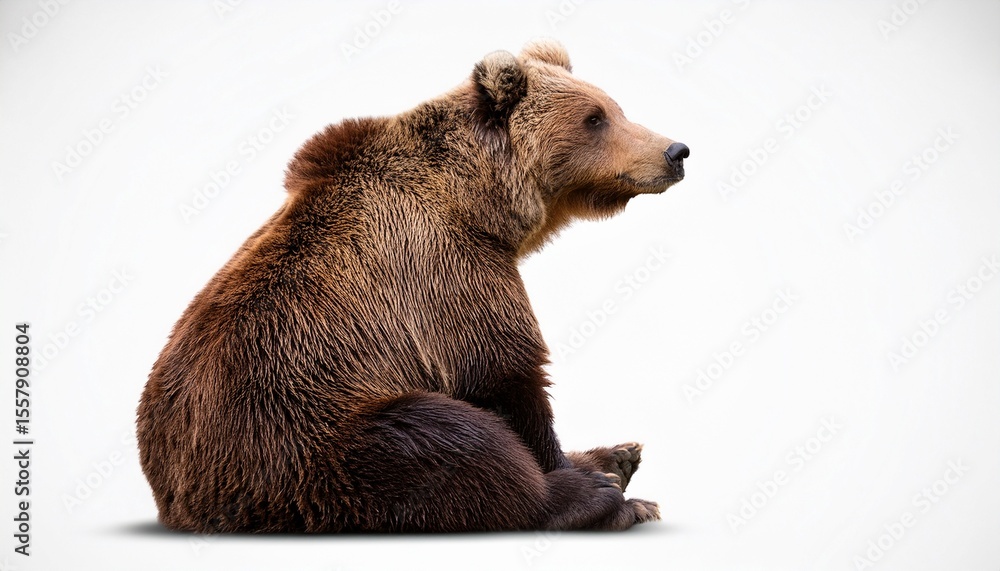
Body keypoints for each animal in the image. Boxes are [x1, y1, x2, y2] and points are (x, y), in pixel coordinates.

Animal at [136, 39, 688, 533]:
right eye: (594, 118)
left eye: (615, 107)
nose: (675, 150)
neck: (476, 202)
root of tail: (174, 499)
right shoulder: (445, 268)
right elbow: (505, 372)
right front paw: (593, 484)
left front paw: (610, 464)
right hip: (303, 436)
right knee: (442, 437)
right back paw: (596, 492)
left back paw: (618, 455)